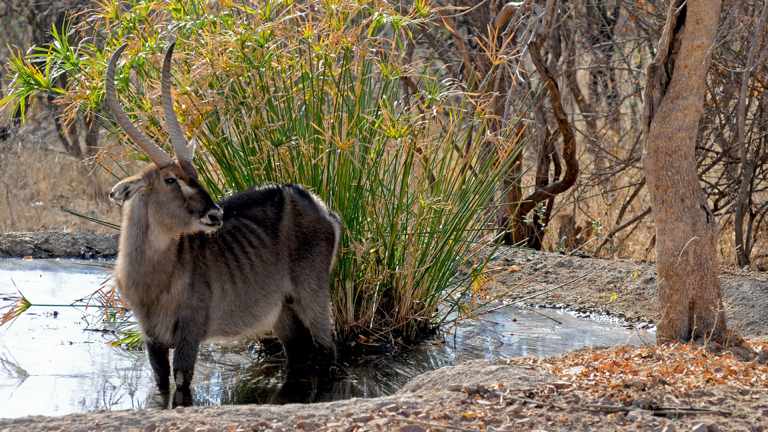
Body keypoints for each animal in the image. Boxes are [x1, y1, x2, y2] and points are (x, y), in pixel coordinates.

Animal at [106, 44, 342, 392]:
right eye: (170, 179)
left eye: (195, 174)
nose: (215, 213)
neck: (155, 279)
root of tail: (316, 204)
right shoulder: (152, 340)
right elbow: (162, 386)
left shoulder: (190, 333)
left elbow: (182, 384)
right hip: (282, 312)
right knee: (299, 356)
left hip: (313, 297)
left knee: (328, 352)